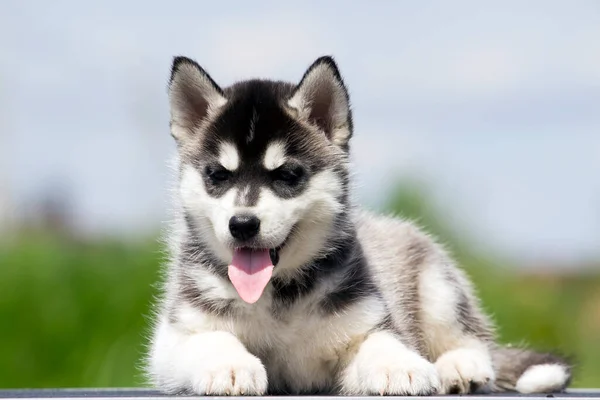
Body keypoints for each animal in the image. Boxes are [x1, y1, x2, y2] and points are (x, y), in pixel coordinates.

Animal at [145, 56, 572, 396]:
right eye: (217, 175)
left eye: (288, 175)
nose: (243, 225)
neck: (281, 295)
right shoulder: (174, 339)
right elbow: (210, 338)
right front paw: (230, 365)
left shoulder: (365, 326)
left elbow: (381, 343)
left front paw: (400, 366)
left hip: (438, 289)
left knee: (474, 343)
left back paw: (459, 367)